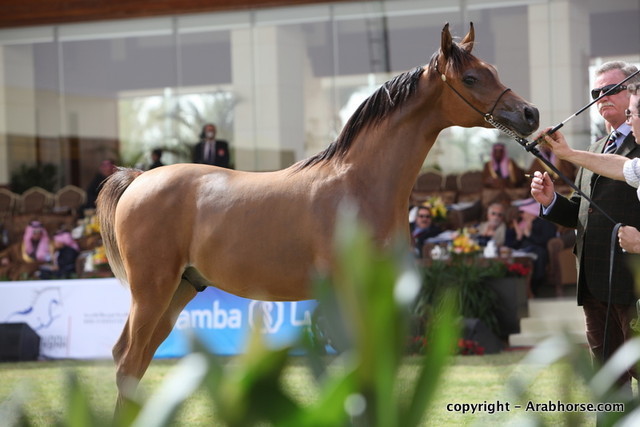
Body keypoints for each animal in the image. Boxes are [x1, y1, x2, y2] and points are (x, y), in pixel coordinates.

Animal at [97, 23, 539, 407]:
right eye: (471, 79)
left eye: (493, 71)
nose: (530, 114)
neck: (359, 183)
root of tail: (139, 178)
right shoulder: (350, 291)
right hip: (152, 291)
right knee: (128, 362)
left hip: (181, 289)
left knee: (134, 361)